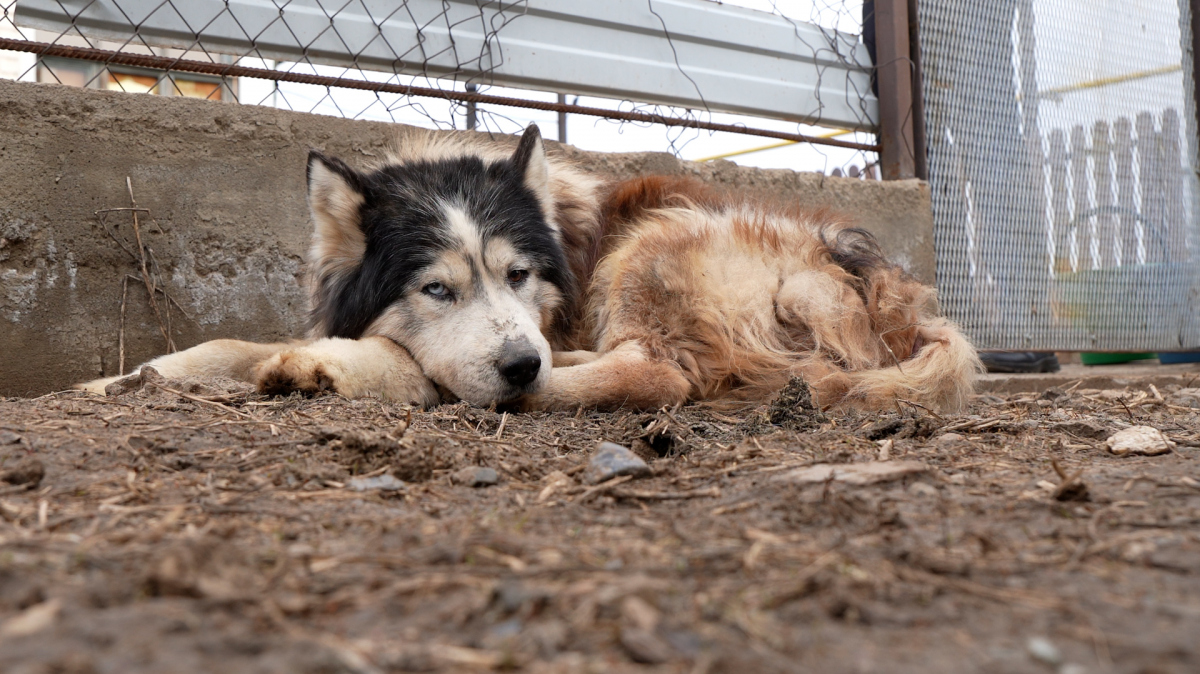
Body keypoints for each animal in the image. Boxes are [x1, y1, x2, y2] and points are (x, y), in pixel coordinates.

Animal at [75, 124, 979, 410]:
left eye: (520, 276)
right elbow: (223, 347)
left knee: (659, 375)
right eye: (436, 288)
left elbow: (388, 356)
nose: (518, 362)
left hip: (653, 239)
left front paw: (319, 368)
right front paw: (124, 378)